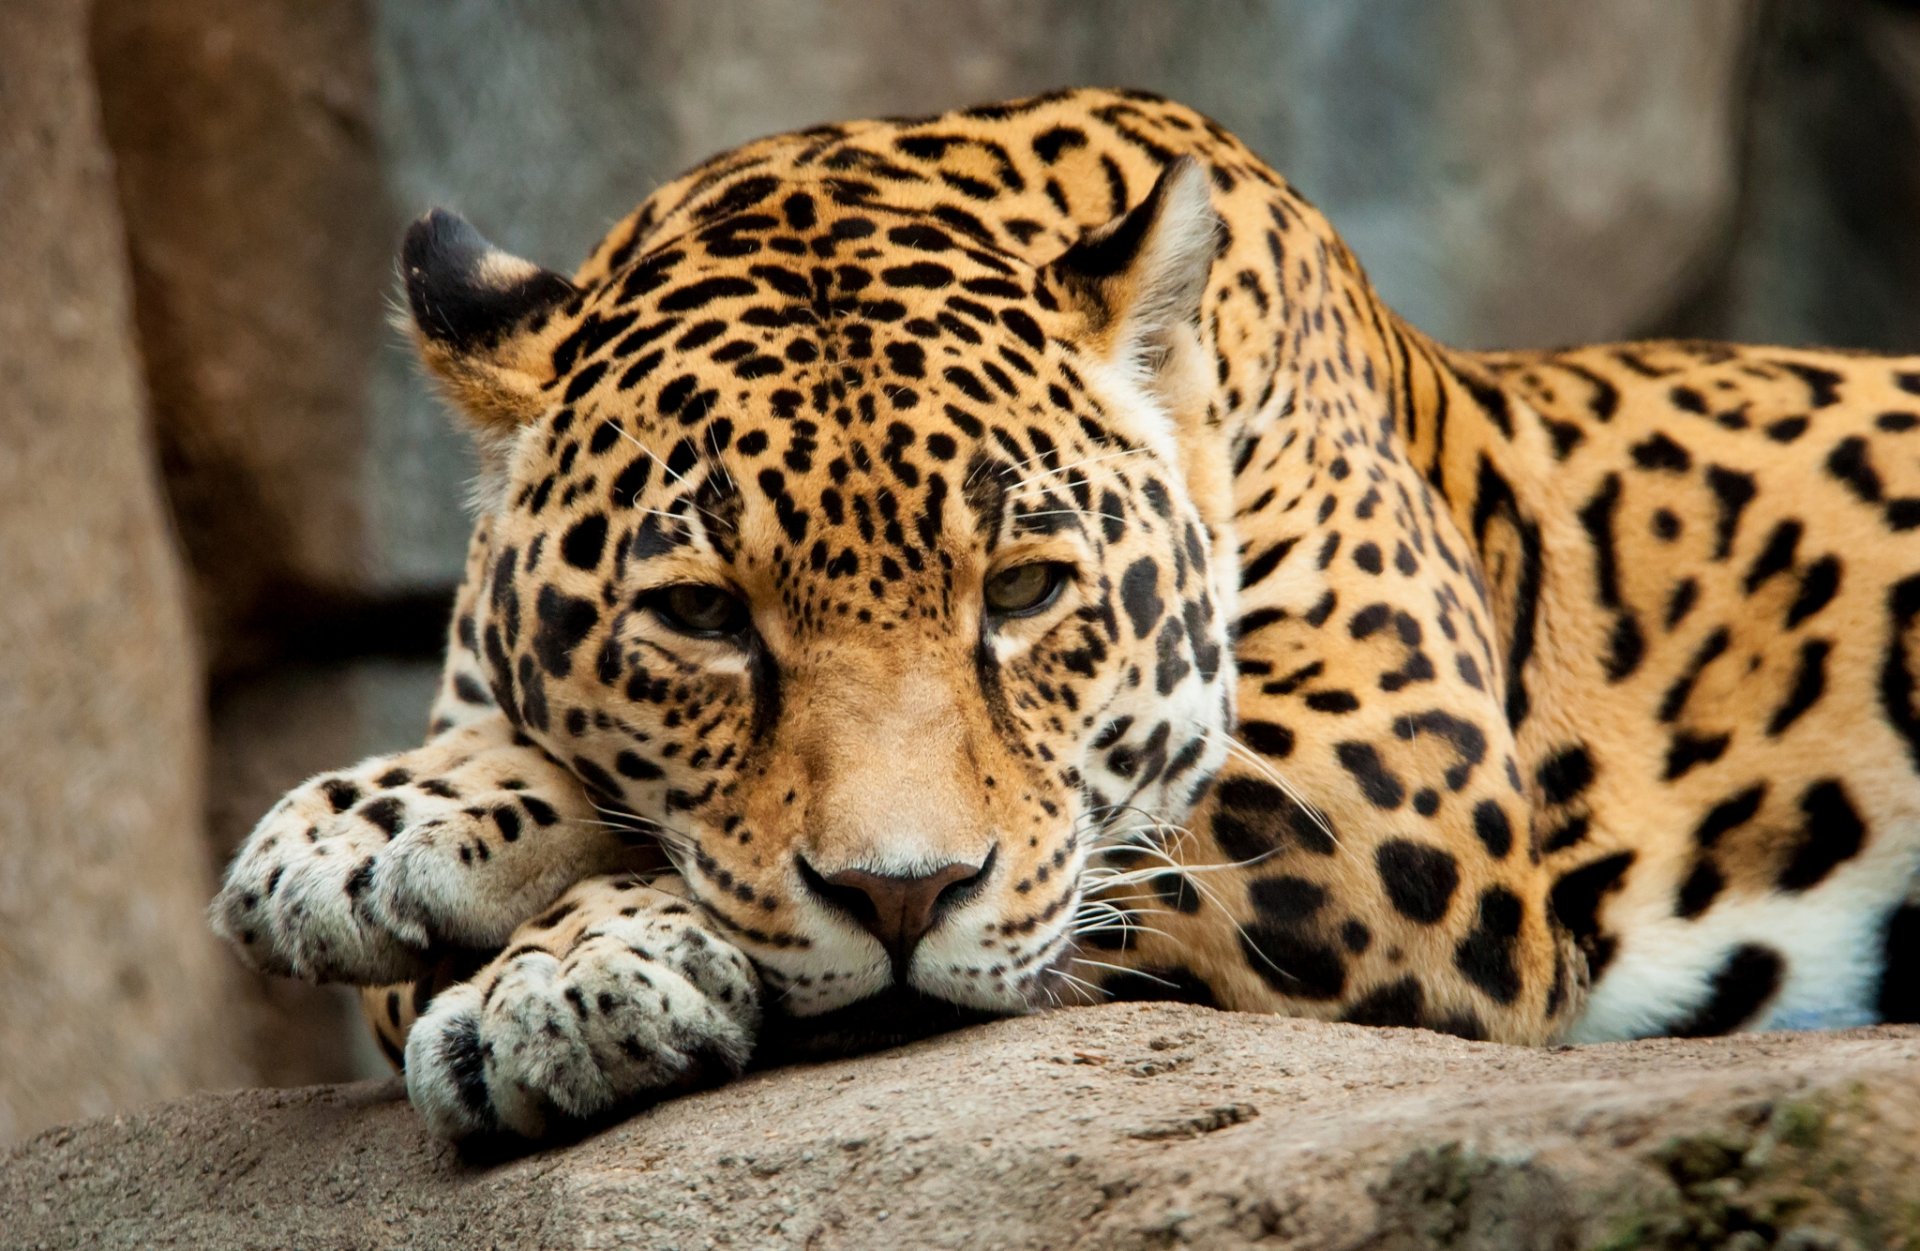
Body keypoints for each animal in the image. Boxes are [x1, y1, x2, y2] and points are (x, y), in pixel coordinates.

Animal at [213, 87, 1920, 1142]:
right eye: (701, 613)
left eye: (1027, 590)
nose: (902, 898)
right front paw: (400, 839)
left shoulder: (1392, 782)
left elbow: (1088, 854)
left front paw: (549, 970)